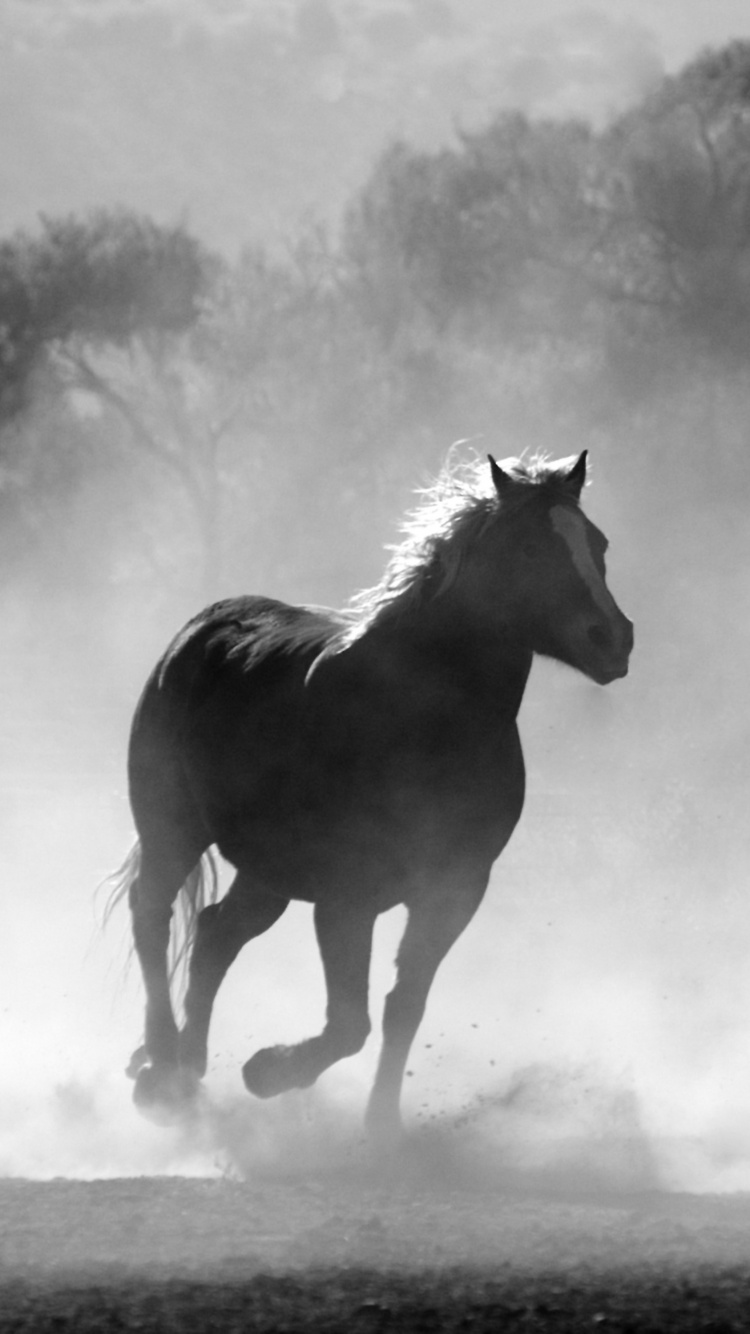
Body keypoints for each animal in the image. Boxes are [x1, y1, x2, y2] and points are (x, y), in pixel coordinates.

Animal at [107, 448, 633, 1144]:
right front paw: (268, 1071)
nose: (614, 639)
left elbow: (402, 1006)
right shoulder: (346, 897)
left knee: (216, 933)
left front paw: (381, 1127)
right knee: (152, 915)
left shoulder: (454, 889)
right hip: (173, 829)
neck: (422, 721)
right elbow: (349, 1023)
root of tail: (200, 629)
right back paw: (162, 1069)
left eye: (597, 544)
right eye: (528, 548)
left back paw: (189, 1070)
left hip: (267, 871)